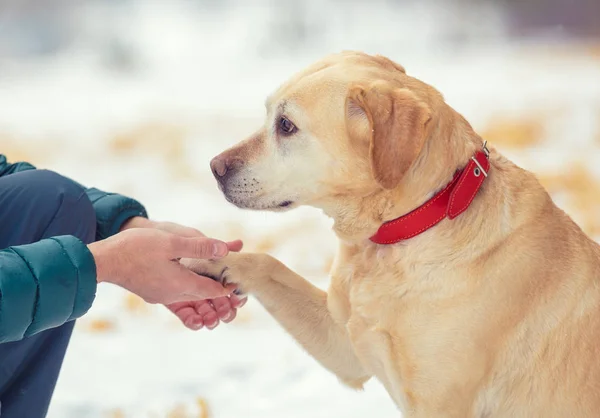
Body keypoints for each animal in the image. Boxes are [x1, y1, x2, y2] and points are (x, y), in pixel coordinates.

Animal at [185, 50, 600, 416]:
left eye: (286, 125)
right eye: (269, 114)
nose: (214, 167)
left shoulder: (439, 405)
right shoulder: (346, 347)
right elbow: (268, 263)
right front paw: (205, 258)